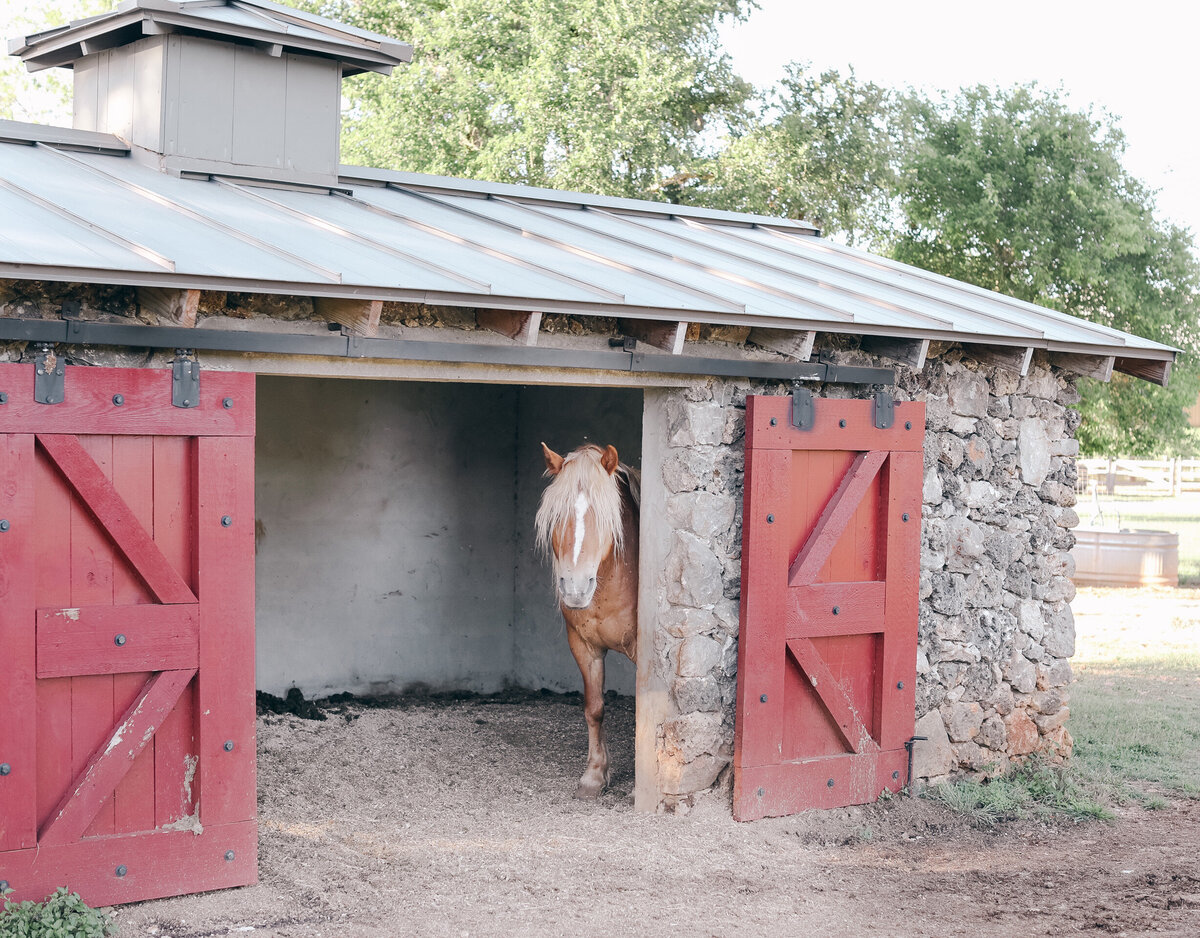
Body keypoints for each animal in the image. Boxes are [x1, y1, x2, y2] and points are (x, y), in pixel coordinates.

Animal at [540, 443, 643, 796]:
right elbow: (594, 708)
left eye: (604, 515)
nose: (575, 588)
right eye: (557, 516)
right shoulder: (585, 648)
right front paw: (595, 775)